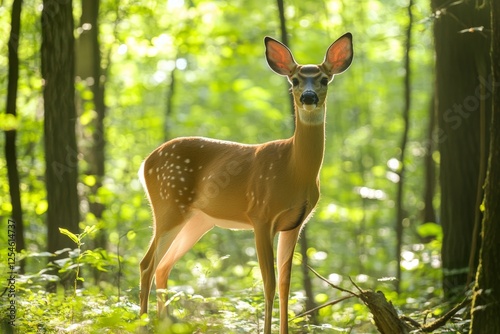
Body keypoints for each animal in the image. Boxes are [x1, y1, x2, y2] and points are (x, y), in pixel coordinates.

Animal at [139, 32, 354, 334]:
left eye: (324, 79)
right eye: (295, 80)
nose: (308, 97)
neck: (295, 170)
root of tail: (145, 163)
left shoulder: (295, 223)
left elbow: (286, 284)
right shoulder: (261, 215)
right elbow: (269, 283)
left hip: (198, 220)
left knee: (163, 266)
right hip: (168, 205)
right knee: (147, 263)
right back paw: (141, 323)